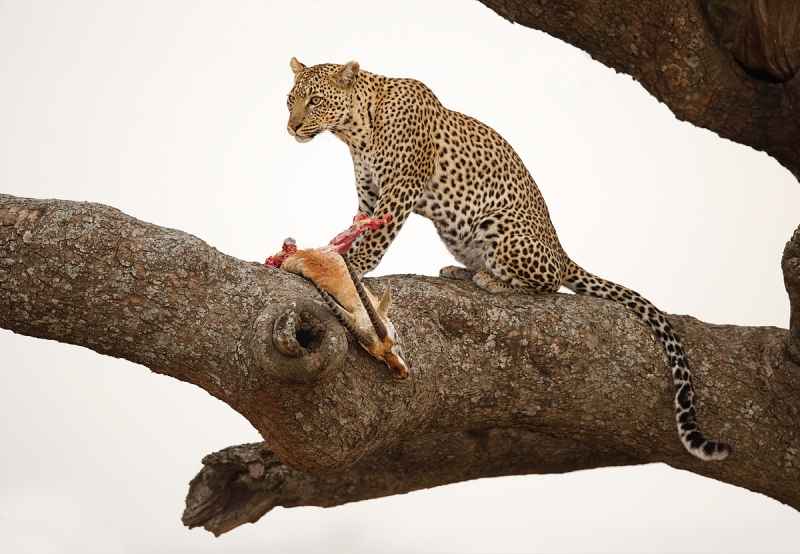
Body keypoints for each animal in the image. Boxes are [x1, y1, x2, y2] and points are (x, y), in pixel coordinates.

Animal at [288, 58, 732, 460]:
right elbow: (357, 226)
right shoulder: (369, 192)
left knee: (548, 282)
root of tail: (561, 251)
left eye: (314, 100)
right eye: (291, 100)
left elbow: (377, 238)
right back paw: (461, 271)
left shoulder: (401, 188)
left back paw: (490, 279)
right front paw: (333, 256)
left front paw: (352, 267)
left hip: (500, 225)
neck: (356, 132)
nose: (290, 127)